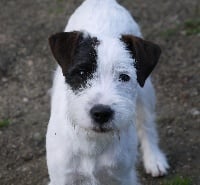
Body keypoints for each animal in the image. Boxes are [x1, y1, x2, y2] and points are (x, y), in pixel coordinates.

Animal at [46, 0, 169, 185]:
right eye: (81, 73)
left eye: (124, 77)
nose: (101, 113)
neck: (92, 142)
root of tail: (101, 2)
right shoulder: (62, 177)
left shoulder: (123, 177)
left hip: (145, 92)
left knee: (147, 124)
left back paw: (154, 158)